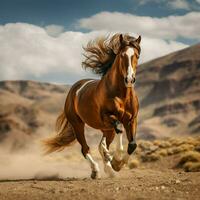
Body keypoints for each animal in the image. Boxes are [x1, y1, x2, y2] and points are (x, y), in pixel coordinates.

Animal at [43, 33, 141, 179]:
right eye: (122, 55)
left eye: (137, 55)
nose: (129, 79)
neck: (122, 95)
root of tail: (74, 89)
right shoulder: (107, 117)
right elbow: (119, 128)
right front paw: (116, 160)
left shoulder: (131, 120)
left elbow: (132, 145)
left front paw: (117, 165)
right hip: (78, 125)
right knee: (85, 148)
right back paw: (96, 171)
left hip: (107, 129)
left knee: (101, 146)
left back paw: (109, 169)